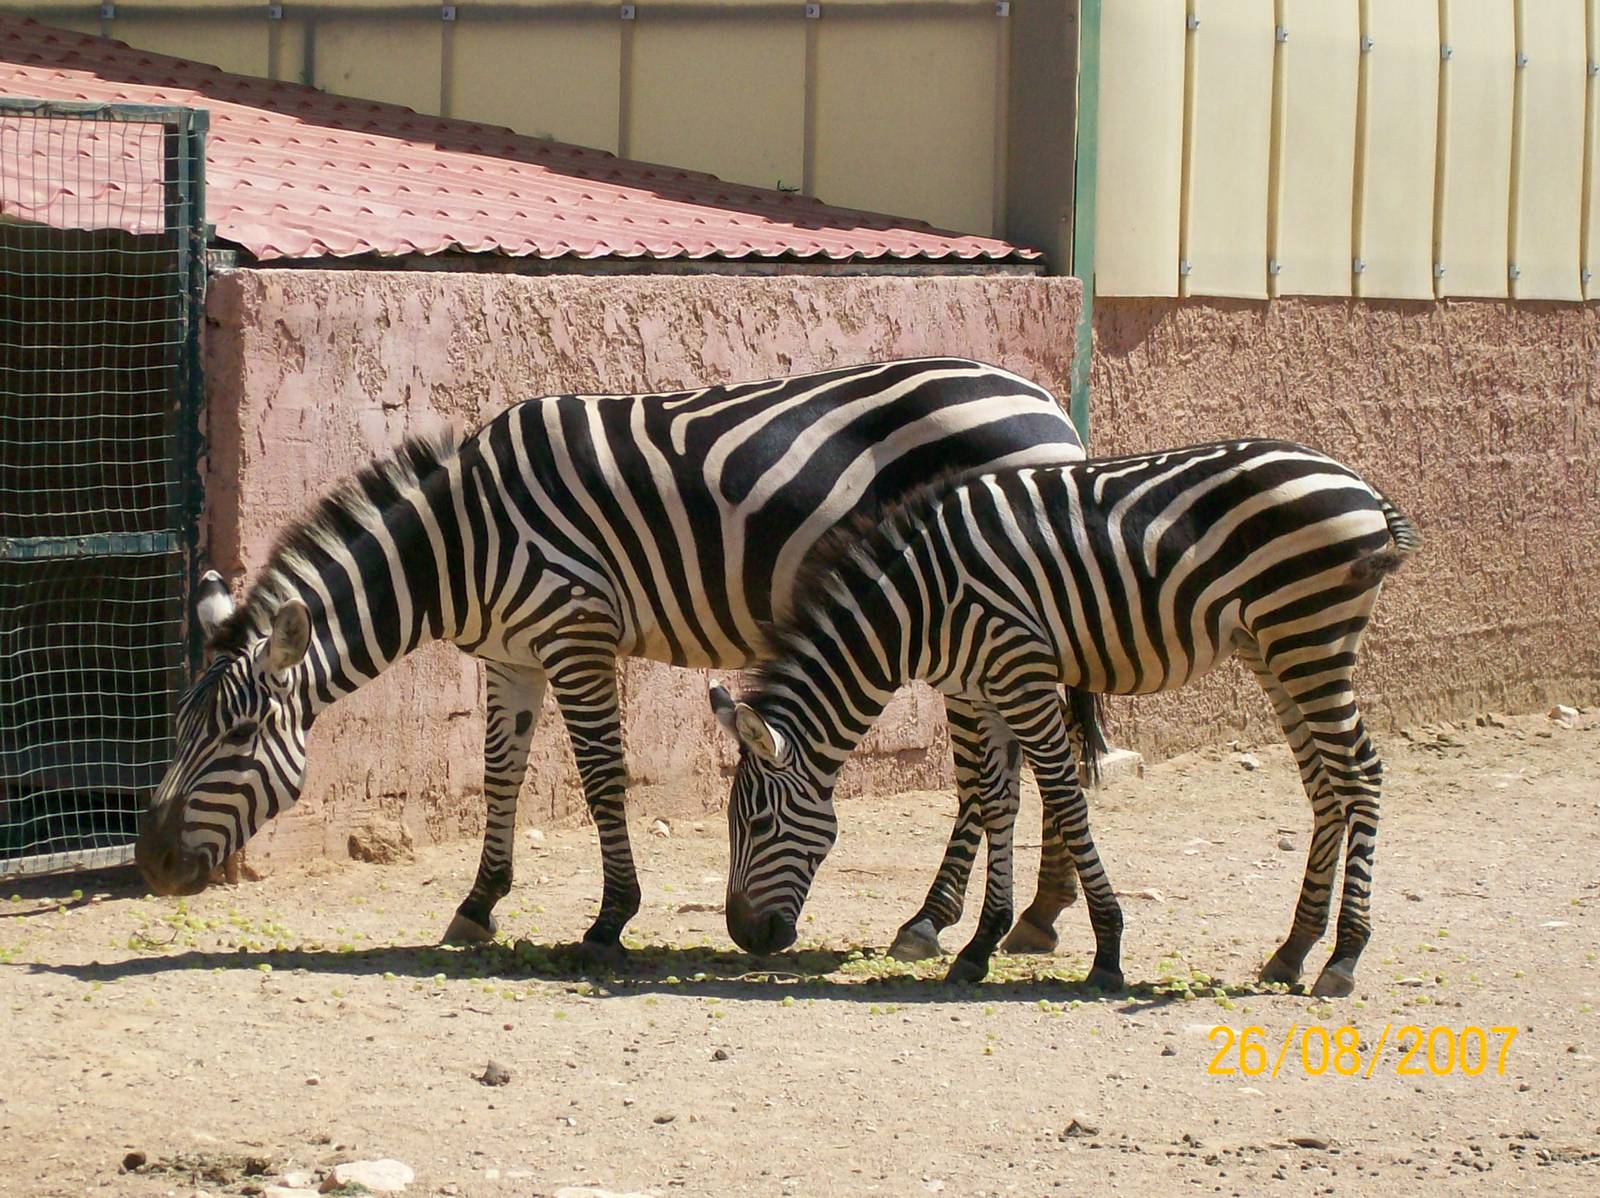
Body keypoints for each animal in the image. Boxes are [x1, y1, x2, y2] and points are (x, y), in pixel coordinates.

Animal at [132, 357, 1096, 959]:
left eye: (237, 738)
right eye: (180, 730)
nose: (149, 863)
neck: (458, 543)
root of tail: (1047, 402)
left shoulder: (576, 630)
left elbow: (600, 776)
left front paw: (609, 920)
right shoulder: (511, 655)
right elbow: (501, 774)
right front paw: (477, 905)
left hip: (977, 615)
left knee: (998, 771)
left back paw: (937, 921)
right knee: (1022, 763)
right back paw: (1037, 916)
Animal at [710, 439, 1418, 995]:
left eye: (760, 823)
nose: (746, 936)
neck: (917, 607)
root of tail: (1357, 483)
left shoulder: (1020, 673)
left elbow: (1064, 797)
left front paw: (1106, 950)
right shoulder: (981, 689)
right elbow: (996, 801)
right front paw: (979, 946)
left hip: (1309, 637)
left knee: (1360, 774)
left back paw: (1343, 957)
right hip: (1272, 648)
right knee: (1323, 784)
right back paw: (1294, 950)